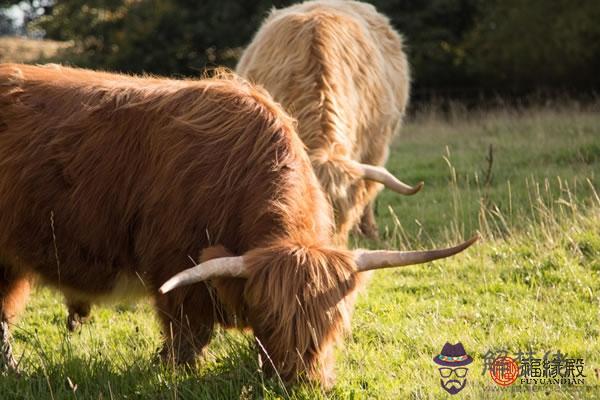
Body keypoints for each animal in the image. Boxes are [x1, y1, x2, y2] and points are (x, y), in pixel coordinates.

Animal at [1, 64, 478, 386]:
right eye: (269, 319)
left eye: (334, 321)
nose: (303, 382)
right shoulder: (175, 267)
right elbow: (188, 332)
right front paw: (173, 368)